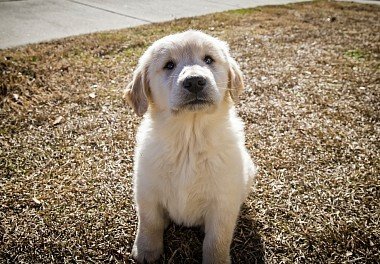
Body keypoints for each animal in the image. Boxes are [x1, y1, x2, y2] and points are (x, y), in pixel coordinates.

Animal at [126, 29, 256, 262]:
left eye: (208, 59)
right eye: (169, 65)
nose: (195, 81)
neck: (189, 140)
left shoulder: (223, 203)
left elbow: (217, 239)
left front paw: (216, 260)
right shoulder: (146, 191)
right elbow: (149, 223)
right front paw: (146, 251)